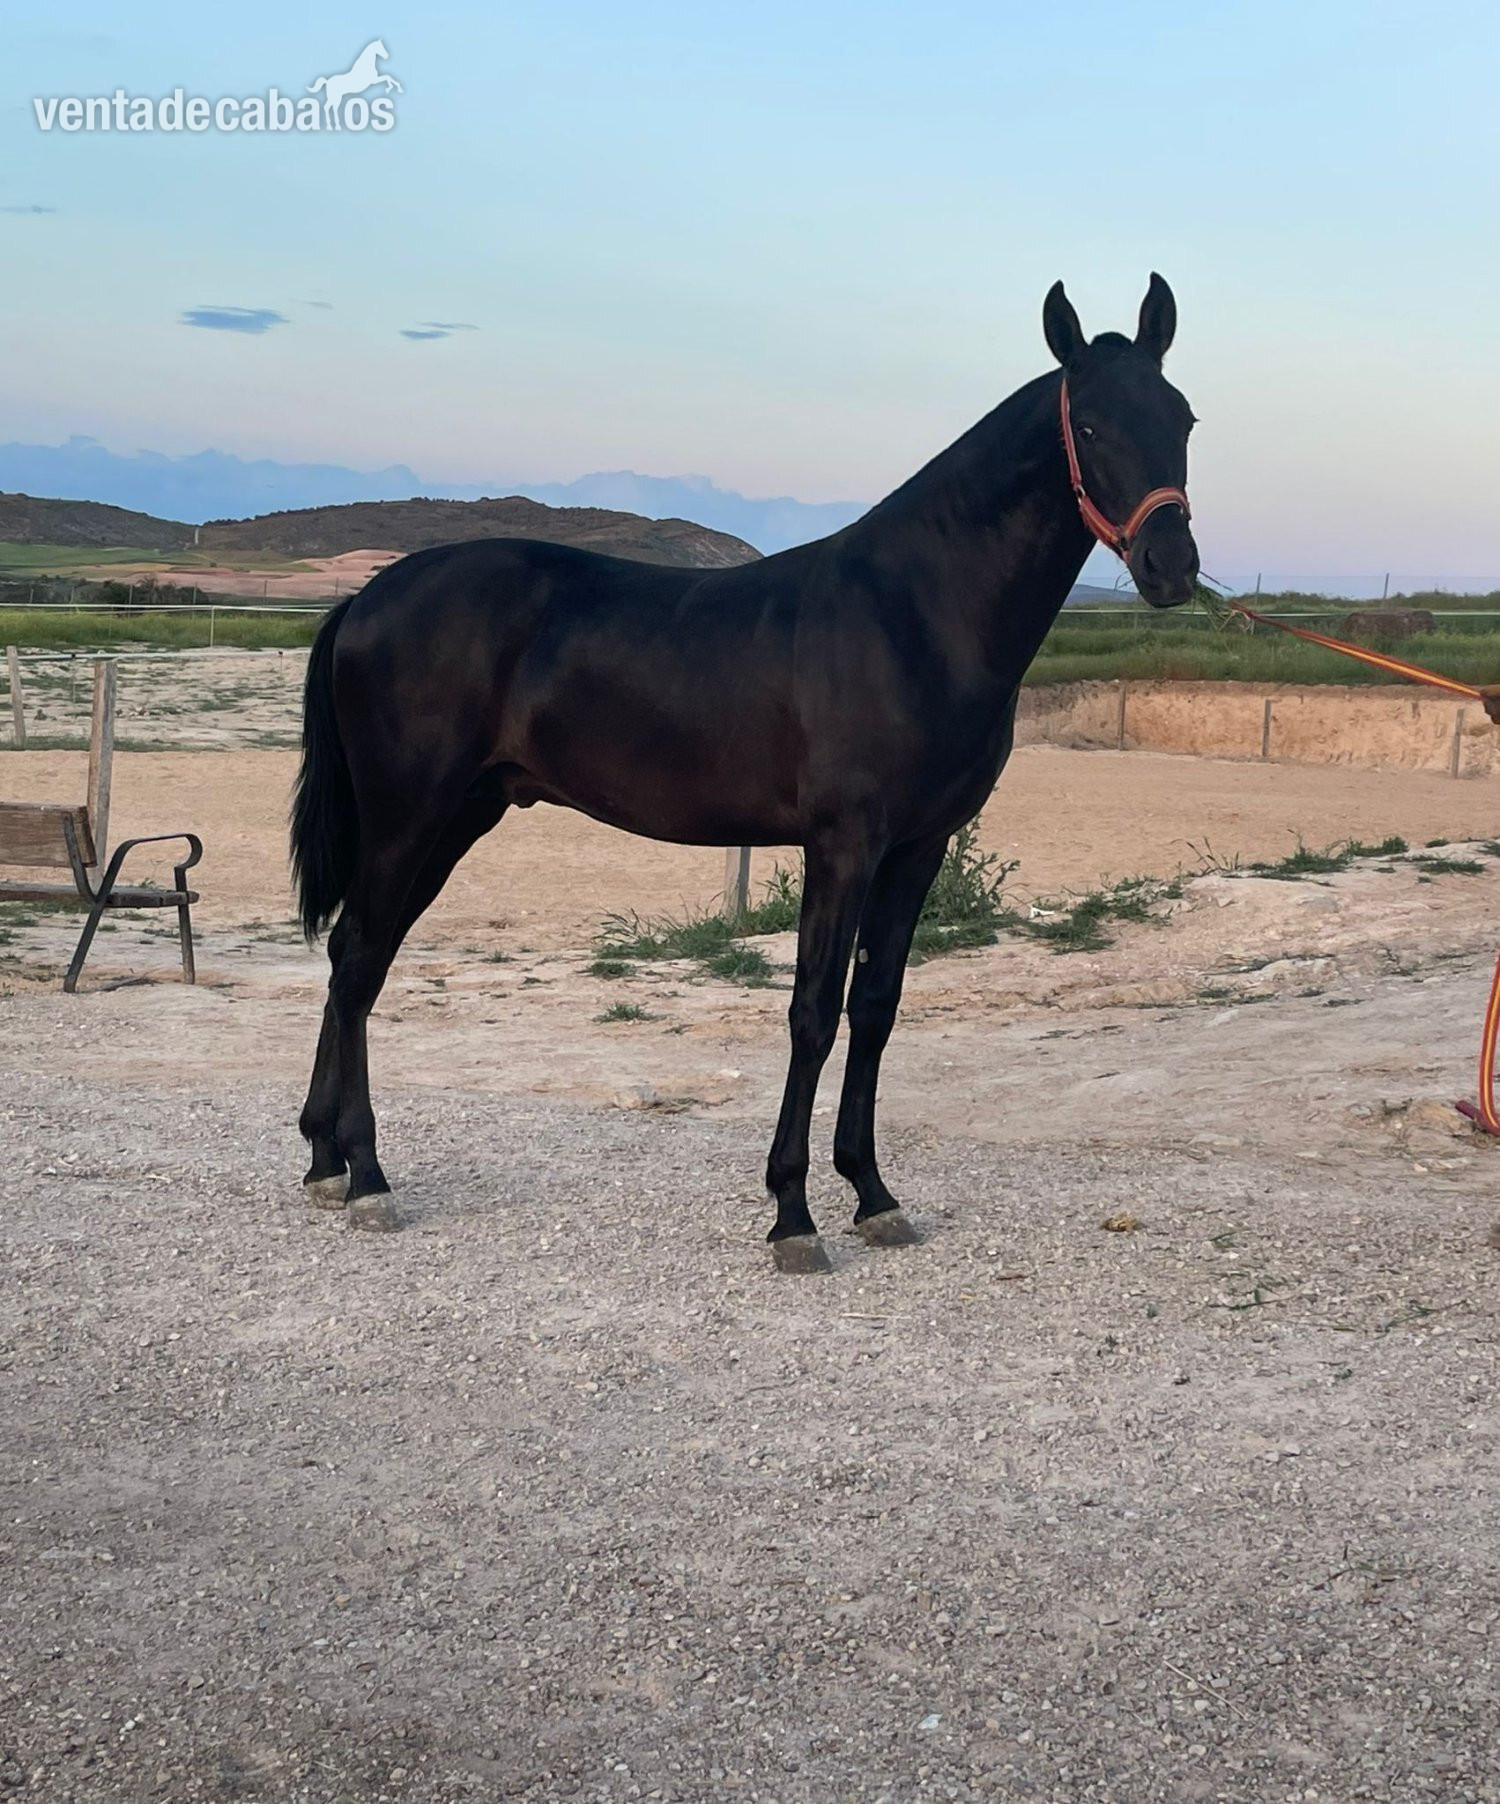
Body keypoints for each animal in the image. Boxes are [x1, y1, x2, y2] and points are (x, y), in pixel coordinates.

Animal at [290, 276, 1200, 1269]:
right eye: (1093, 426)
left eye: (1184, 417)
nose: (1172, 567)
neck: (914, 613)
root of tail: (366, 597)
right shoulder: (843, 844)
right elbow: (814, 1009)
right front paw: (793, 1213)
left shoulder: (916, 849)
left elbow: (876, 1007)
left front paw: (872, 1194)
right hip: (409, 816)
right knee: (359, 959)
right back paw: (367, 1176)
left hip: (457, 818)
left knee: (355, 957)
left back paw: (326, 1161)